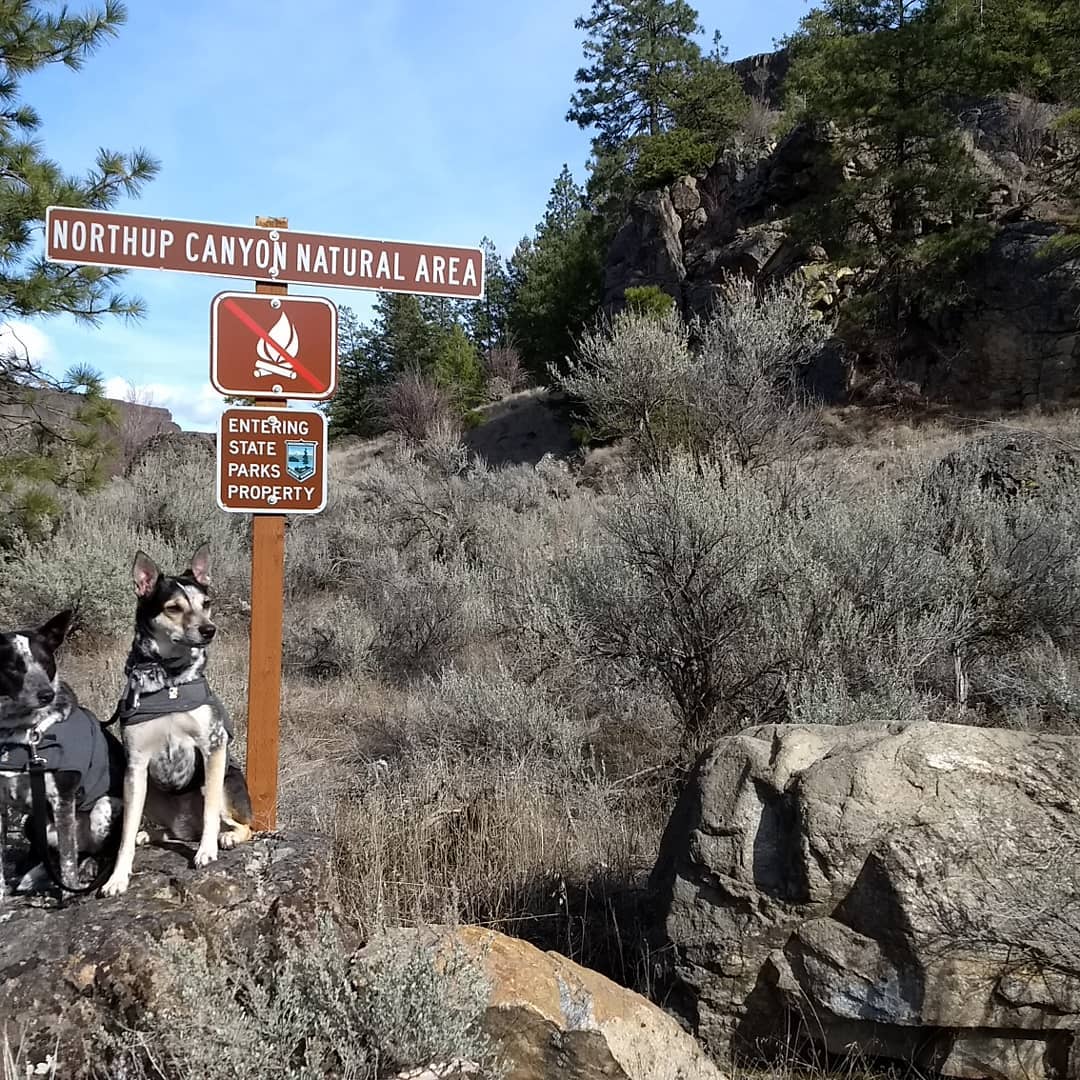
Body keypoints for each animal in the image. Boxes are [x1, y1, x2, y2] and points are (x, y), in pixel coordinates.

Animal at [0, 609, 123, 894]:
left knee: (89, 852)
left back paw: (87, 867)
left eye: (46, 662)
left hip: (105, 807)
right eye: (13, 666)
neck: (23, 734)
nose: (46, 694)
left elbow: (68, 860)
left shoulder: (62, 797)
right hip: (32, 824)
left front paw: (68, 893)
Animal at [100, 544, 250, 898]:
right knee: (165, 832)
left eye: (206, 604)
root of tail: (186, 828)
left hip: (221, 781)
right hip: (149, 792)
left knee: (241, 824)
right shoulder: (135, 765)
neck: (167, 678)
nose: (209, 630)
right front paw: (117, 877)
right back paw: (151, 835)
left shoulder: (213, 747)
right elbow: (125, 834)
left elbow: (210, 814)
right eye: (173, 608)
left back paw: (226, 837)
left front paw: (206, 852)